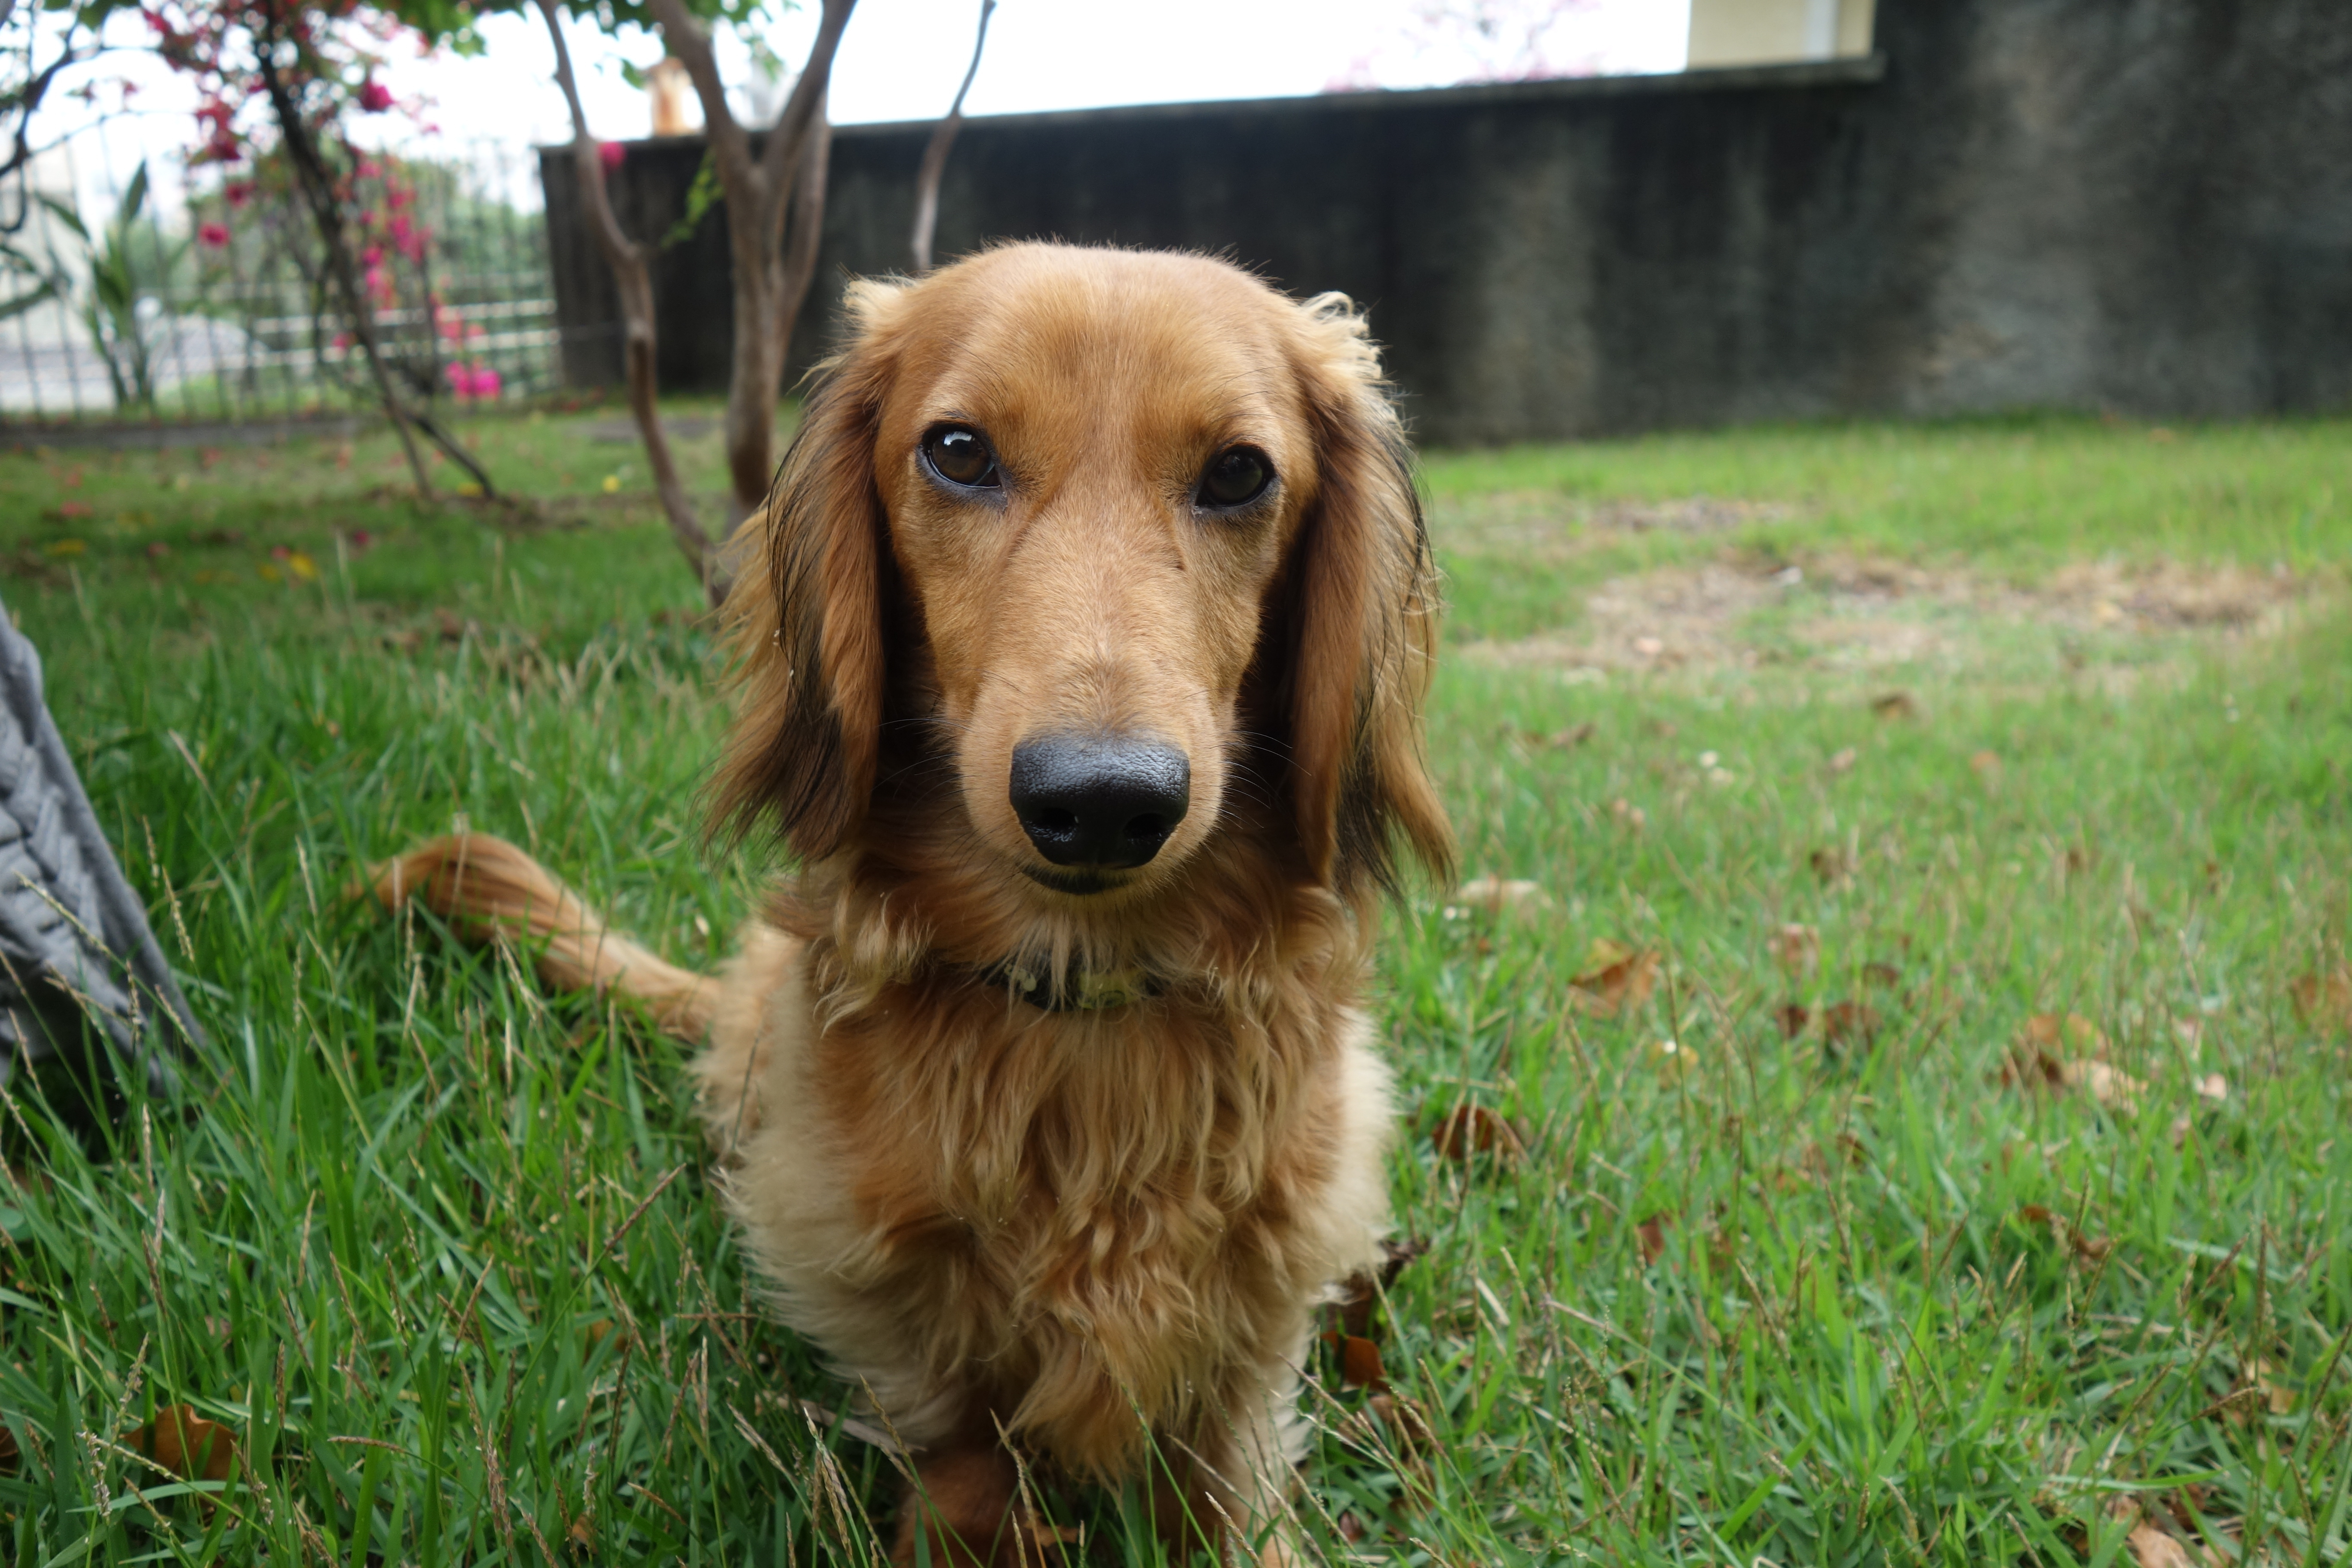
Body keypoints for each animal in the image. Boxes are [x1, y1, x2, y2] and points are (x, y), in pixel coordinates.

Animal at [376, 239, 1449, 1561]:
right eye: (958, 452)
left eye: (1241, 474)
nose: (1103, 802)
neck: (1077, 1002)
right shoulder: (881, 1285)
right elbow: (961, 1452)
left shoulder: (1262, 1302)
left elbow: (1223, 1482)